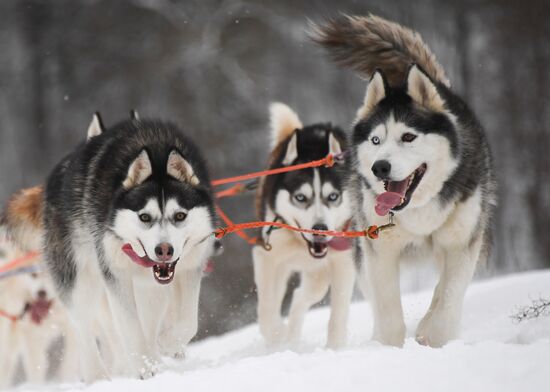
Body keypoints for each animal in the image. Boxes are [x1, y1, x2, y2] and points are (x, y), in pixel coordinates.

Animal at [5, 114, 218, 380]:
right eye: (144, 217)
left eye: (180, 216)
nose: (164, 250)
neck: (156, 148)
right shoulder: (116, 274)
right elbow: (130, 327)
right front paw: (145, 368)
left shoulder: (189, 269)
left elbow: (188, 323)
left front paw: (166, 345)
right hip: (80, 280)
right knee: (83, 327)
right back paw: (97, 375)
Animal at [256, 102, 358, 348]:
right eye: (301, 197)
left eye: (333, 196)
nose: (319, 229)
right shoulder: (266, 255)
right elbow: (267, 307)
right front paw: (276, 333)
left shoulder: (343, 262)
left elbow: (338, 314)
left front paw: (335, 348)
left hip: (319, 275)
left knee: (302, 296)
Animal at [314, 14, 500, 346]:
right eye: (376, 140)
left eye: (408, 137)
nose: (380, 168)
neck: (417, 210)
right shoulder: (381, 251)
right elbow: (388, 311)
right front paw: (389, 347)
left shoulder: (461, 244)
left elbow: (448, 300)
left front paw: (433, 336)